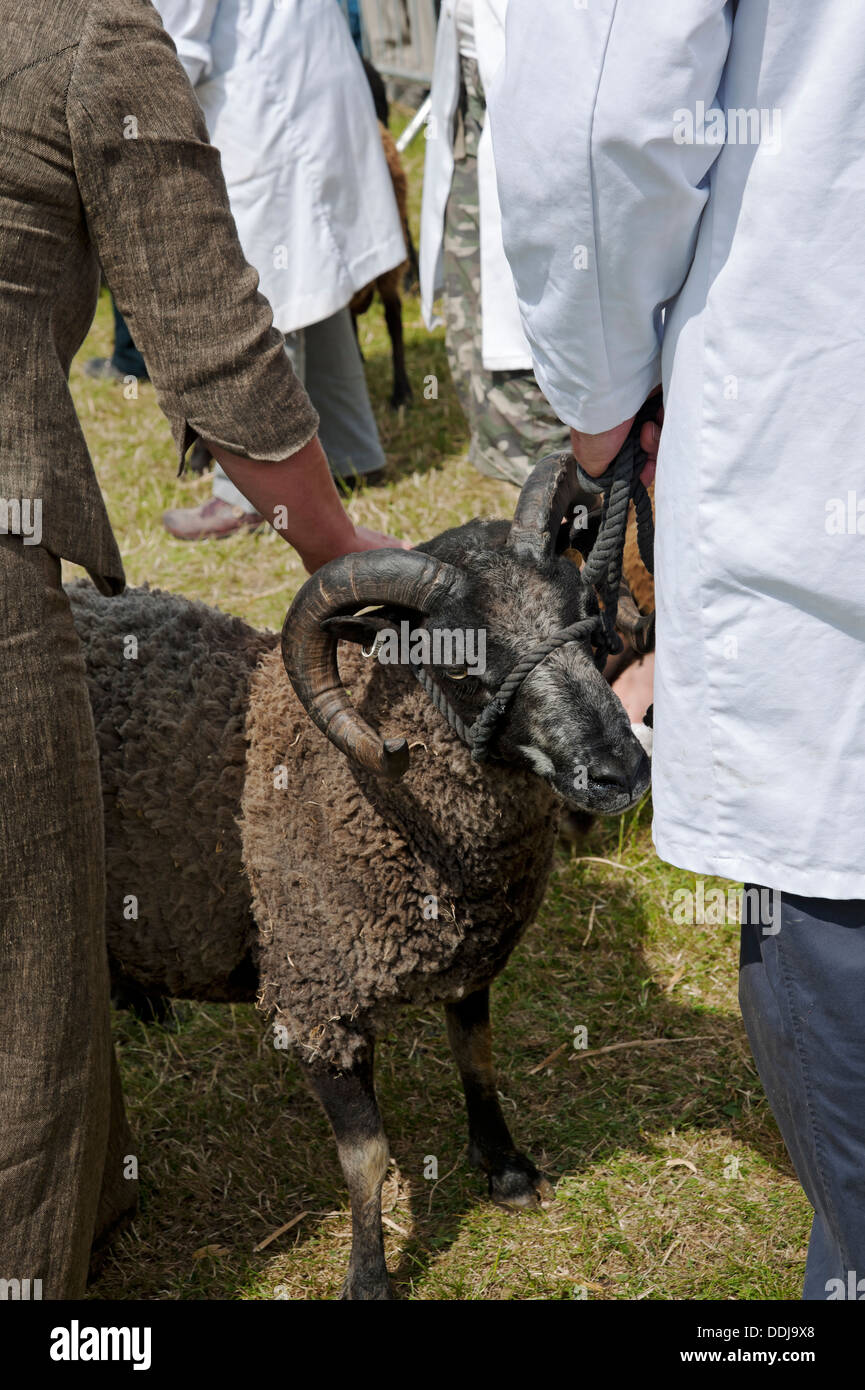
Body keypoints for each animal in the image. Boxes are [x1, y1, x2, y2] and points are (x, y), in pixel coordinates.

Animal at [71, 454, 650, 1300]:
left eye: (583, 612)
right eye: (462, 661)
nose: (621, 770)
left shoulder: (469, 959)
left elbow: (477, 1060)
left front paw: (507, 1170)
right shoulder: (317, 999)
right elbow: (366, 1158)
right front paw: (371, 1277)